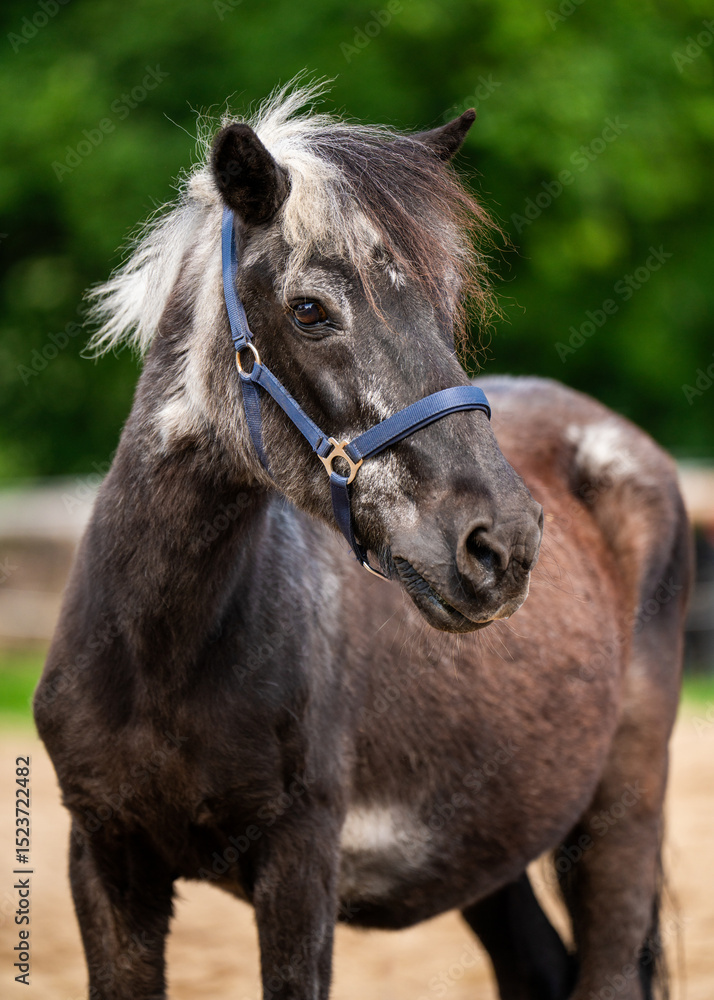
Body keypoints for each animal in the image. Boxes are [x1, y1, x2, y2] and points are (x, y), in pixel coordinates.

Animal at [34, 82, 691, 1000]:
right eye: (309, 310)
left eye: (446, 306)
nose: (502, 545)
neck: (161, 655)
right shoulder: (104, 860)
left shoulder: (301, 864)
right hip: (490, 853)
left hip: (622, 816)